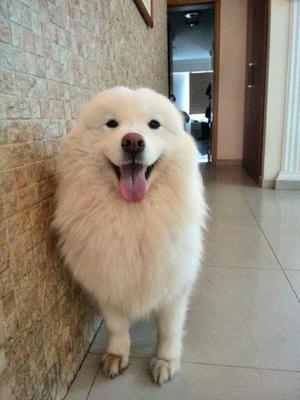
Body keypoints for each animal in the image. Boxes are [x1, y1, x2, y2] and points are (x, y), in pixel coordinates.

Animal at [53, 86, 206, 384]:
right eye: (112, 124)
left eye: (154, 125)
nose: (133, 142)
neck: (134, 215)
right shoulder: (106, 275)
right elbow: (116, 326)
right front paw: (116, 355)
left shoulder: (174, 281)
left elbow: (169, 328)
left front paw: (165, 361)